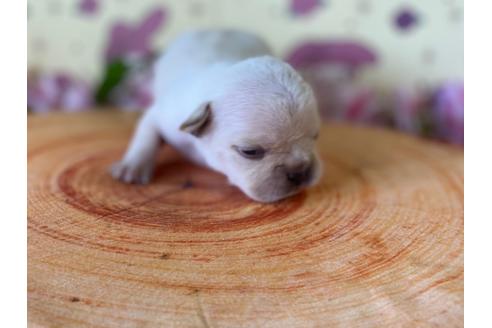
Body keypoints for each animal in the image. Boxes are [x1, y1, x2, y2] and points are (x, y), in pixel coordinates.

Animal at [110, 29, 322, 202]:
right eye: (250, 152)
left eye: (315, 137)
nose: (300, 172)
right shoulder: (162, 114)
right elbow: (146, 135)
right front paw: (132, 167)